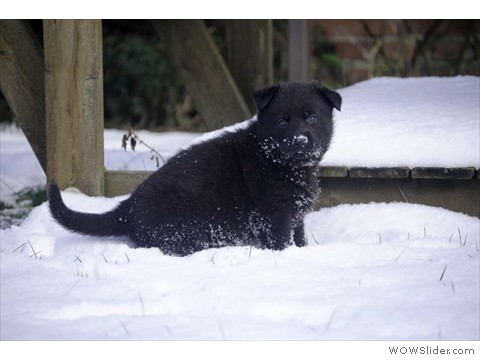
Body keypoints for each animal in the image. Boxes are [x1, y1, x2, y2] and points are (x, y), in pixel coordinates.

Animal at [48, 81, 340, 256]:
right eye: (282, 122)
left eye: (312, 118)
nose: (300, 139)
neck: (277, 161)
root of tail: (129, 208)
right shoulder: (272, 215)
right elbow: (281, 242)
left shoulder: (295, 214)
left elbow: (299, 237)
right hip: (184, 229)